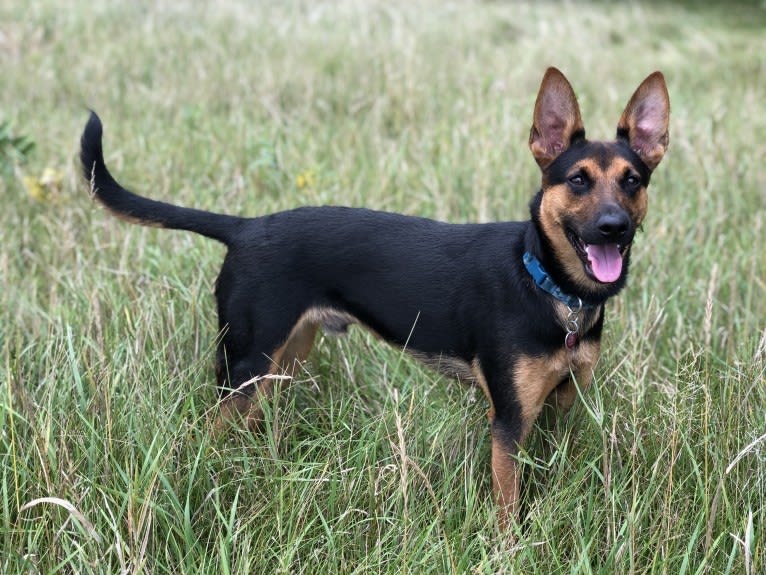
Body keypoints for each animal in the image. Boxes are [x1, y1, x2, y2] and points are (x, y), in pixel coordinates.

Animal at [81, 68, 672, 536]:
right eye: (577, 180)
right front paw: (512, 549)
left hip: (281, 359)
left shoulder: (562, 405)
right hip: (244, 362)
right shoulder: (508, 420)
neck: (546, 284)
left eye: (633, 181)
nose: (613, 228)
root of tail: (246, 228)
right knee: (207, 429)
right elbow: (508, 507)